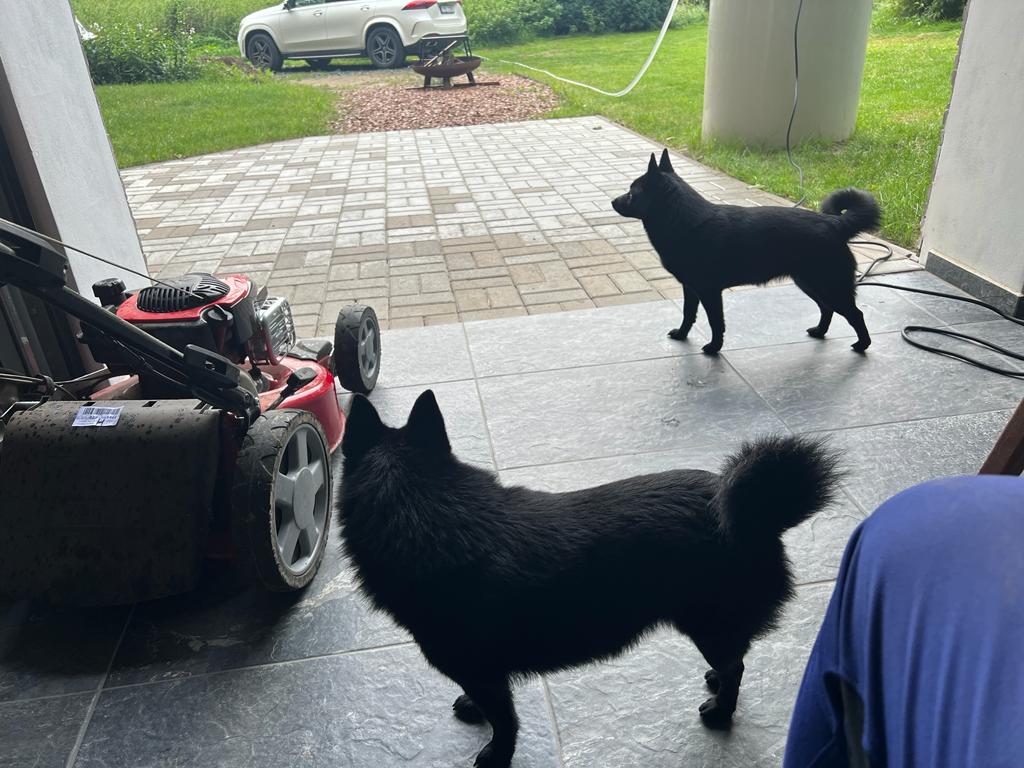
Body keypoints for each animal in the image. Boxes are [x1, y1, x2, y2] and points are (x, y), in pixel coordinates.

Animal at [337, 390, 840, 768]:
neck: (426, 511)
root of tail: (760, 515)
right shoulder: (481, 674)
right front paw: (472, 709)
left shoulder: (484, 673)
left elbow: (505, 723)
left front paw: (496, 755)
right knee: (735, 658)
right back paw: (715, 682)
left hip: (706, 624)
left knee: (737, 666)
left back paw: (719, 711)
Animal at [612, 149, 881, 354]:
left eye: (632, 193)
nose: (613, 201)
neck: (686, 223)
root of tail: (834, 223)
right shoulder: (691, 288)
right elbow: (689, 314)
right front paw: (682, 334)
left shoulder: (709, 292)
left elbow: (716, 322)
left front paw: (714, 348)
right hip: (810, 284)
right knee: (826, 309)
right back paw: (820, 331)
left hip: (831, 287)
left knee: (855, 314)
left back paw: (862, 345)